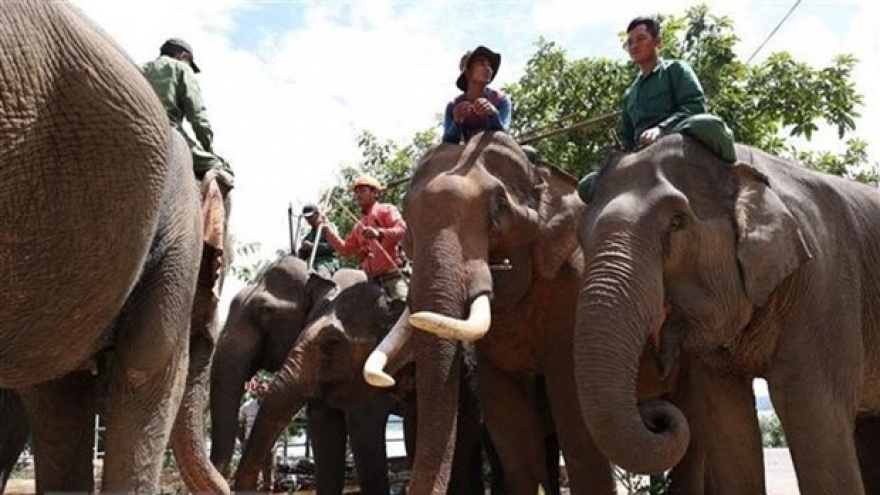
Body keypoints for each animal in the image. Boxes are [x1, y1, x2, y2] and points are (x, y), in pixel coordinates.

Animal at [576, 132, 880, 495]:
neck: (744, 166)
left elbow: (812, 410)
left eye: (676, 222)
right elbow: (728, 419)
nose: (654, 413)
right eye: (581, 237)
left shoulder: (824, 282)